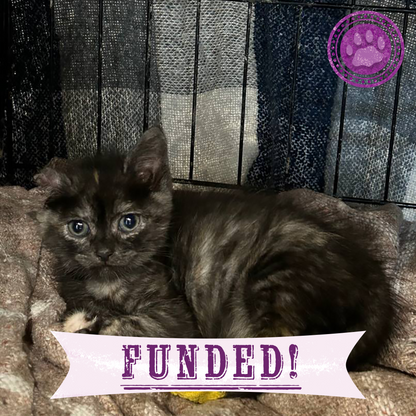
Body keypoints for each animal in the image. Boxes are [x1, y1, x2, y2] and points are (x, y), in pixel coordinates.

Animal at [35, 126, 396, 369]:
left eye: (128, 222)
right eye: (78, 227)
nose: (104, 252)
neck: (109, 282)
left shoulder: (174, 316)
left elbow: (125, 326)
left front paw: (89, 326)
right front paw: (83, 317)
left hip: (278, 278)